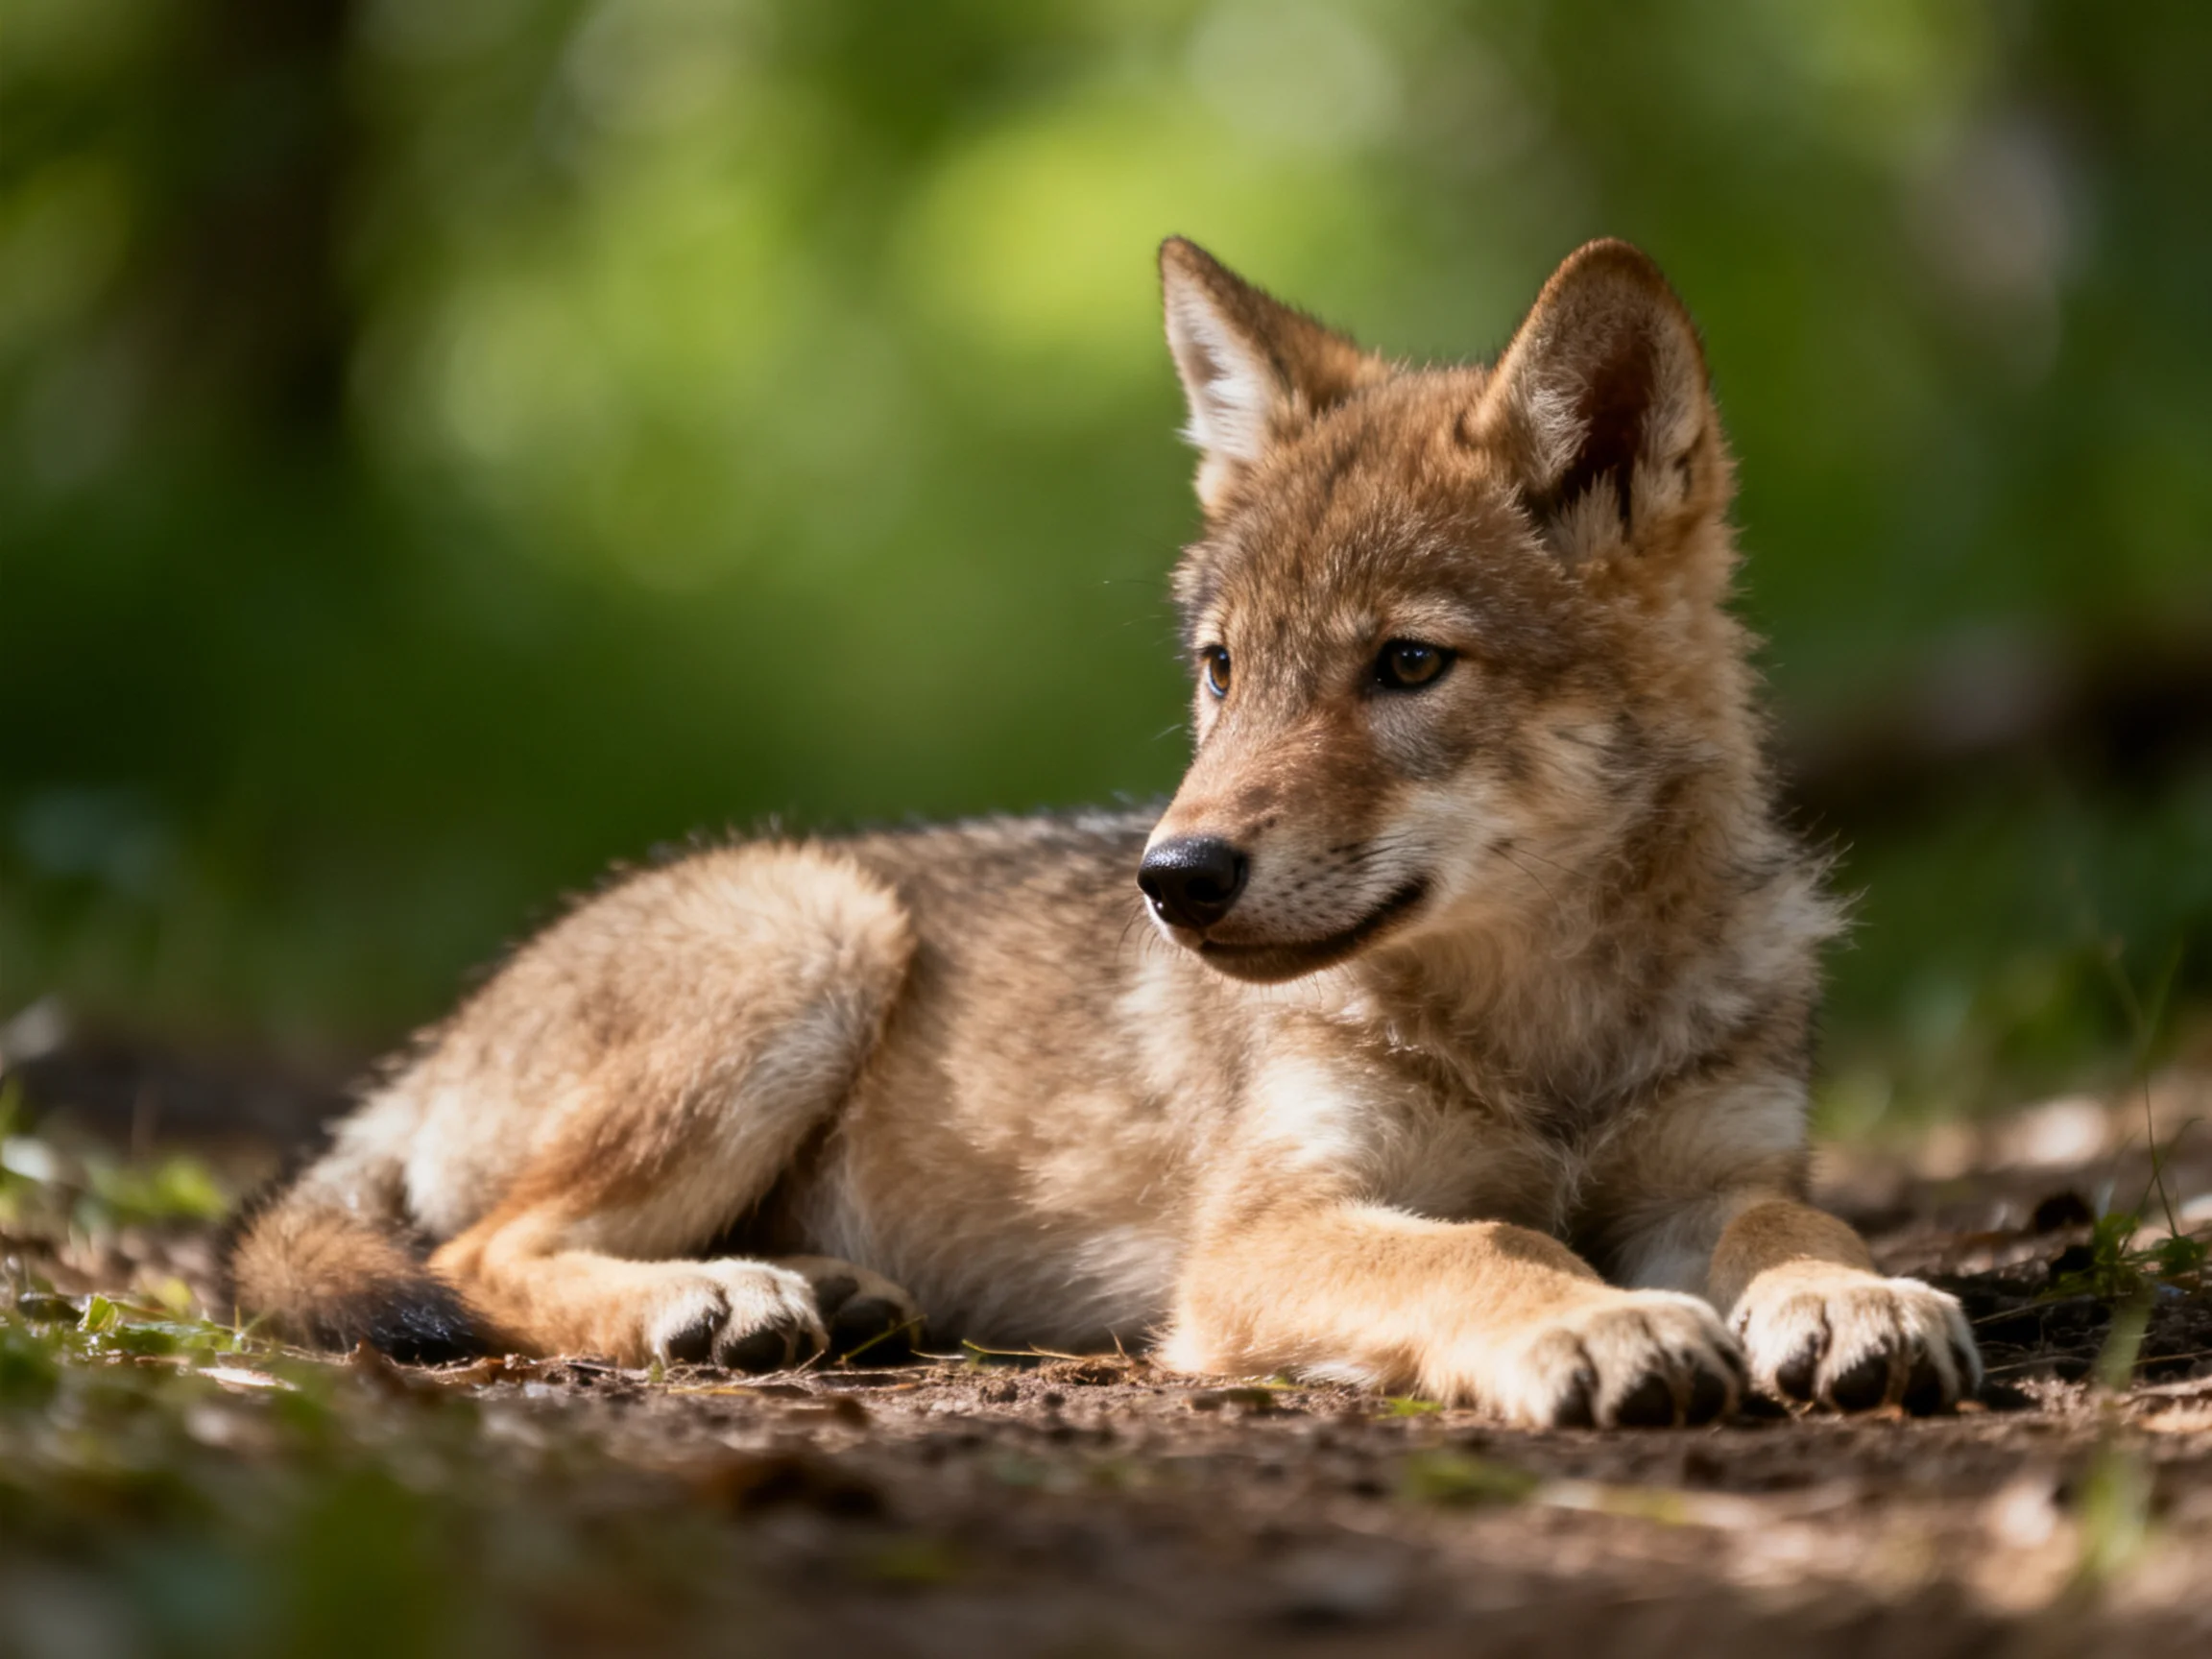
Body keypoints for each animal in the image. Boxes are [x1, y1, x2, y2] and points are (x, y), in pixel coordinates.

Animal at [232, 237, 1979, 1427]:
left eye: (1405, 665)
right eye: (1222, 669)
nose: (1173, 879)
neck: (1543, 1025)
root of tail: (441, 1040)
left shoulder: (1705, 1176)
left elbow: (1794, 1218)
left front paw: (1854, 1296)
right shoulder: (1266, 1233)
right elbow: (1490, 1243)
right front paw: (1599, 1325)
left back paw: (823, 1293)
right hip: (818, 933)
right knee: (480, 1256)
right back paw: (720, 1299)